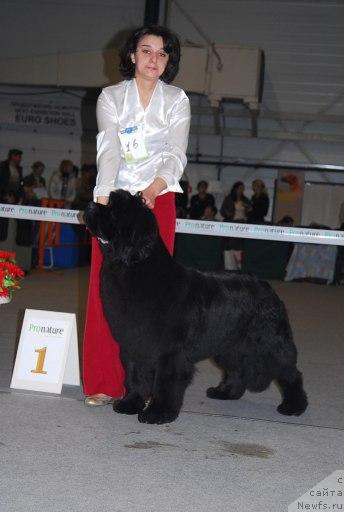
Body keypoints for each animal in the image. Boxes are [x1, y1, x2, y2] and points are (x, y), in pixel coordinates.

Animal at [84, 189, 308, 424]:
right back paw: (225, 392)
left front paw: (158, 413)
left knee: (290, 372)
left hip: (269, 343)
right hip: (229, 344)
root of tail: (267, 287)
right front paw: (130, 403)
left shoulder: (170, 352)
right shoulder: (134, 344)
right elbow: (135, 376)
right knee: (237, 368)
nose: (90, 205)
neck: (135, 268)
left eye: (114, 211)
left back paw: (294, 406)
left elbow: (165, 383)